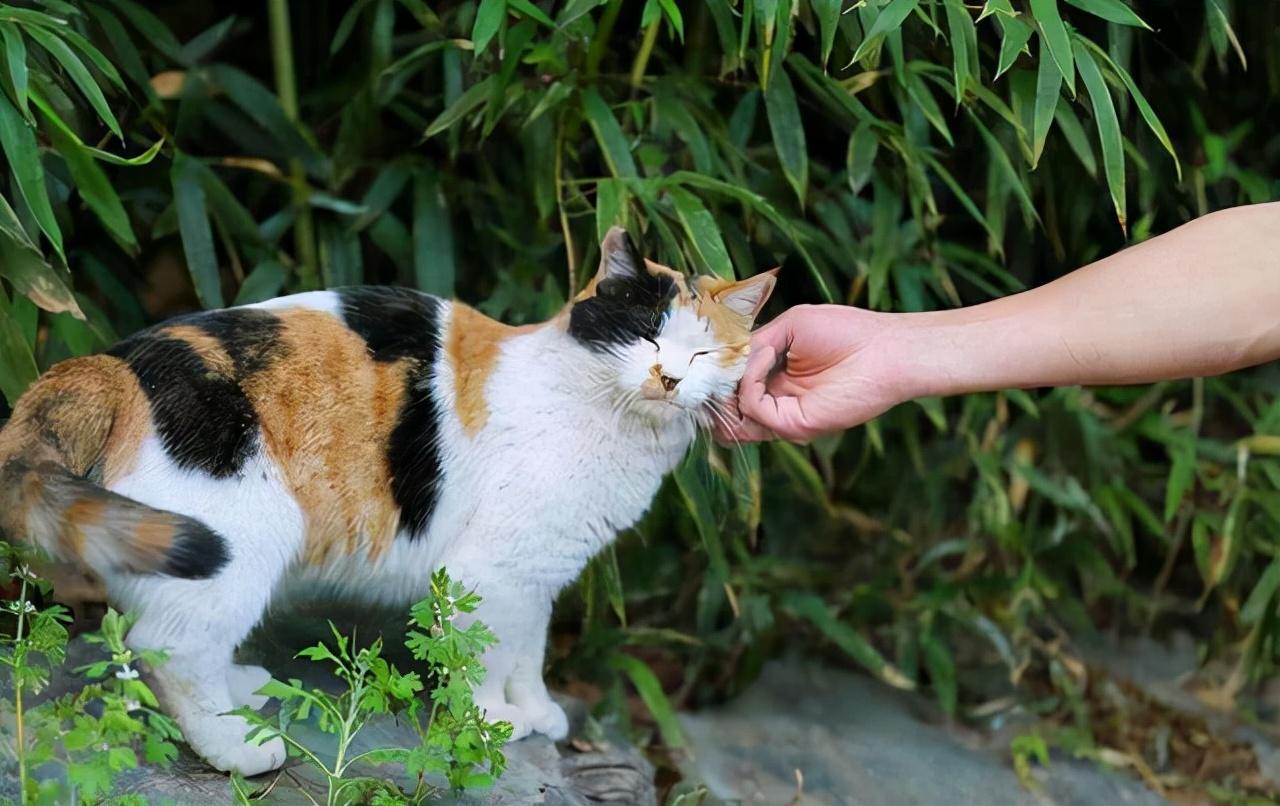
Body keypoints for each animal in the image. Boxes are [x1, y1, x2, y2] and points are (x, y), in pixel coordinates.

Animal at [0, 229, 778, 777]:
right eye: (645, 334)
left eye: (705, 355)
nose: (670, 377)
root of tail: (110, 363)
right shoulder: (487, 574)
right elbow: (485, 657)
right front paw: (493, 719)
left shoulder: (535, 577)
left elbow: (527, 654)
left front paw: (538, 711)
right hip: (237, 542)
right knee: (165, 648)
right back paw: (235, 747)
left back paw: (242, 690)